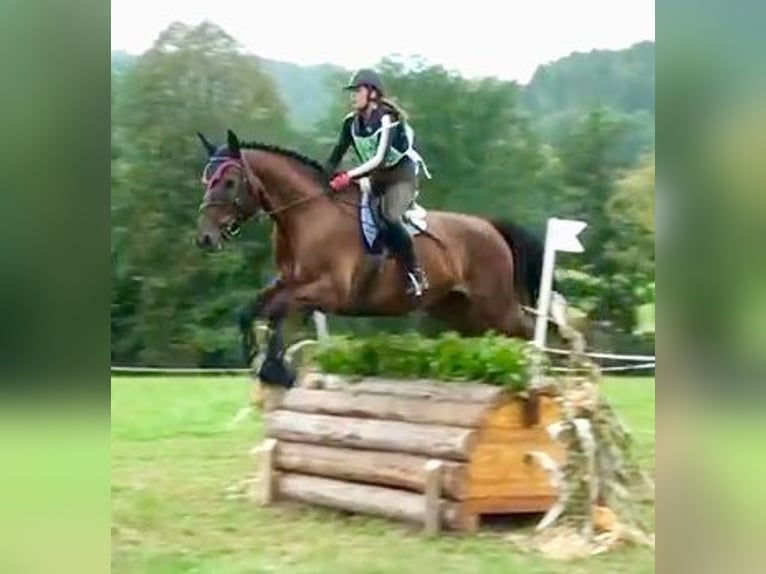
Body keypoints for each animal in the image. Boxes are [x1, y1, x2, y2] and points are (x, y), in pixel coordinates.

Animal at [195, 130, 548, 390]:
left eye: (229, 183)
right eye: (206, 181)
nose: (205, 238)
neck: (307, 213)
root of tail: (491, 226)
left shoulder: (329, 291)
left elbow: (278, 309)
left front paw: (274, 369)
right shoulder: (289, 281)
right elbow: (252, 310)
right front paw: (260, 360)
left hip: (495, 305)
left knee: (527, 329)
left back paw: (540, 374)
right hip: (459, 309)